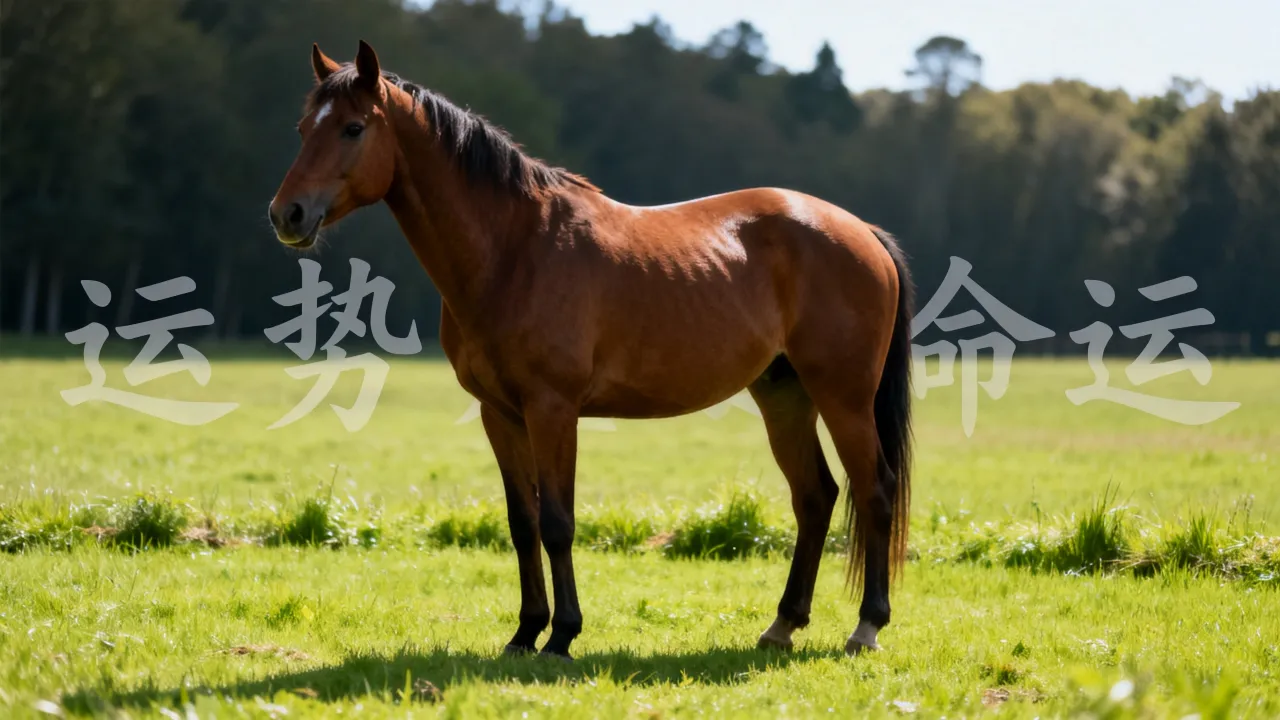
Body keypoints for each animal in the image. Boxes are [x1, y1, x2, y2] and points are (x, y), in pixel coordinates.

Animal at [269, 41, 914, 661]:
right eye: (302, 128)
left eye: (353, 127)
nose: (286, 214)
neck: (515, 250)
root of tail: (861, 231)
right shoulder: (500, 414)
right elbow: (522, 522)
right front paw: (525, 632)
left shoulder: (553, 409)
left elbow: (558, 522)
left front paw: (562, 636)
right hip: (784, 395)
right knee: (815, 496)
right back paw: (782, 625)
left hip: (843, 397)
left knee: (875, 491)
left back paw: (867, 627)